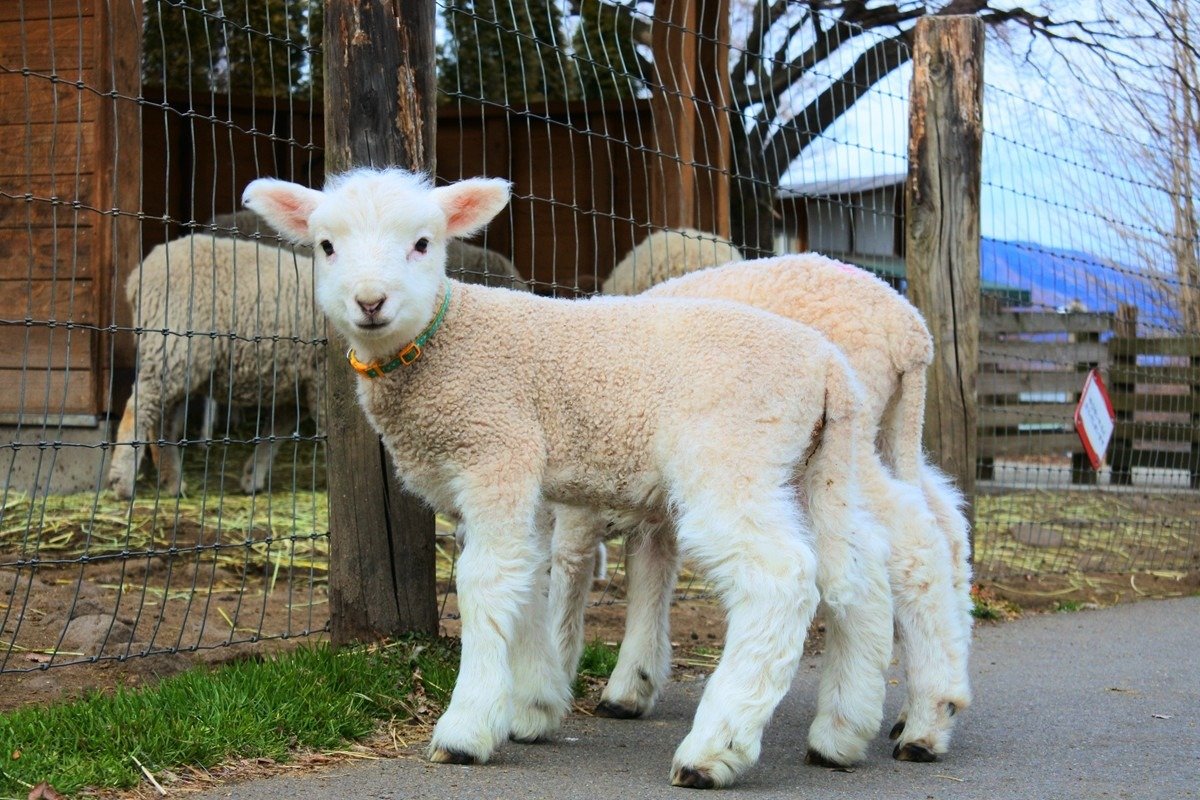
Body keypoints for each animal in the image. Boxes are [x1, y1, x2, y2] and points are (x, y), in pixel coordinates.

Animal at [106, 234, 322, 499]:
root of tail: (138, 276)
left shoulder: (299, 387)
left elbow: (275, 431)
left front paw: (252, 477)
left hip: (177, 360)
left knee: (162, 419)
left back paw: (172, 481)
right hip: (172, 348)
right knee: (139, 408)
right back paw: (123, 482)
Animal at [552, 254, 974, 763]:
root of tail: (910, 331)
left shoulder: (575, 503)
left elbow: (567, 571)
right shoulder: (653, 503)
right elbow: (650, 570)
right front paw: (632, 682)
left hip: (840, 442)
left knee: (913, 541)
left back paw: (924, 722)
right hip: (886, 430)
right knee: (946, 523)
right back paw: (934, 703)